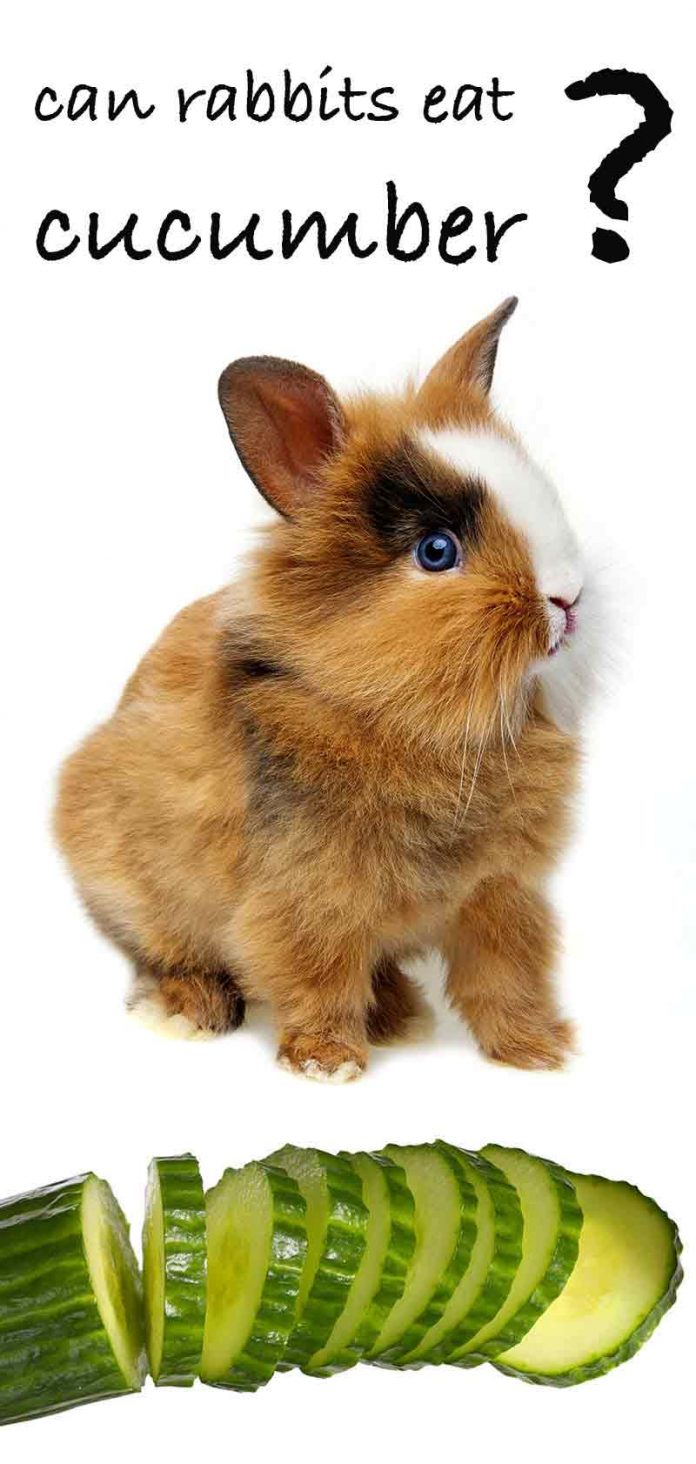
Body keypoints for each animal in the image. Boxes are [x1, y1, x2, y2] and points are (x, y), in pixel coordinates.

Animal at [55, 297, 595, 1082]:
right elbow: (318, 973)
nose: (568, 599)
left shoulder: (502, 892)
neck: (405, 719)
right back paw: (189, 1010)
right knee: (165, 952)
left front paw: (537, 1053)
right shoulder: (308, 896)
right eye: (437, 551)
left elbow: (506, 974)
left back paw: (400, 1014)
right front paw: (326, 1062)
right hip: (135, 885)